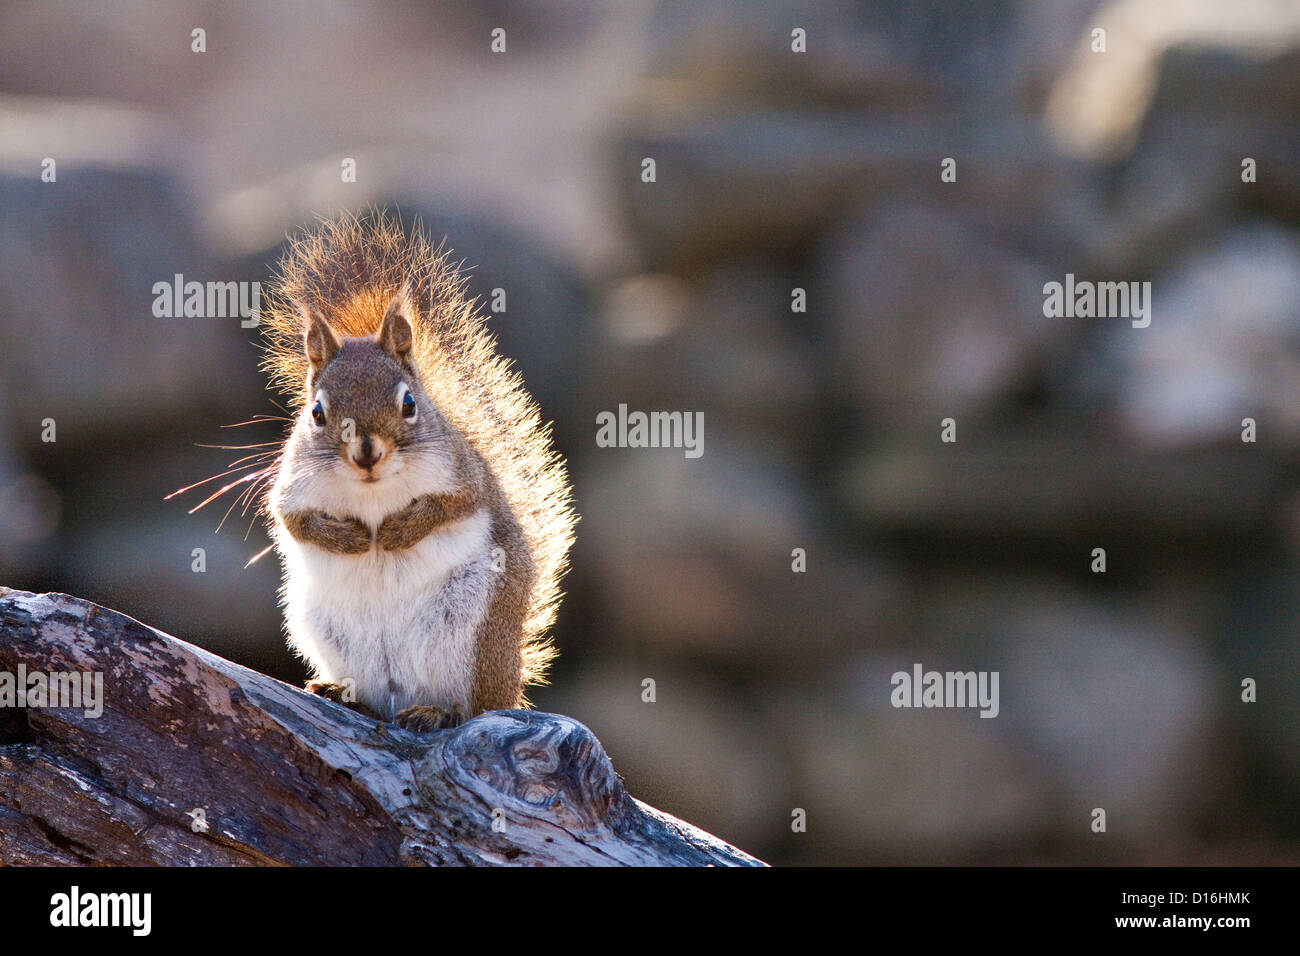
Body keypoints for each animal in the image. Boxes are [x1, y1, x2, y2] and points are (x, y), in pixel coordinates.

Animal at [250, 210, 577, 733]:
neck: (372, 493)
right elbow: (293, 522)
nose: (366, 453)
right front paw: (351, 540)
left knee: (469, 706)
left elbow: (453, 506)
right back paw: (343, 694)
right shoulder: (291, 489)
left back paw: (437, 710)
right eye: (316, 413)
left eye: (408, 404)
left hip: (470, 635)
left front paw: (397, 532)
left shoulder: (465, 477)